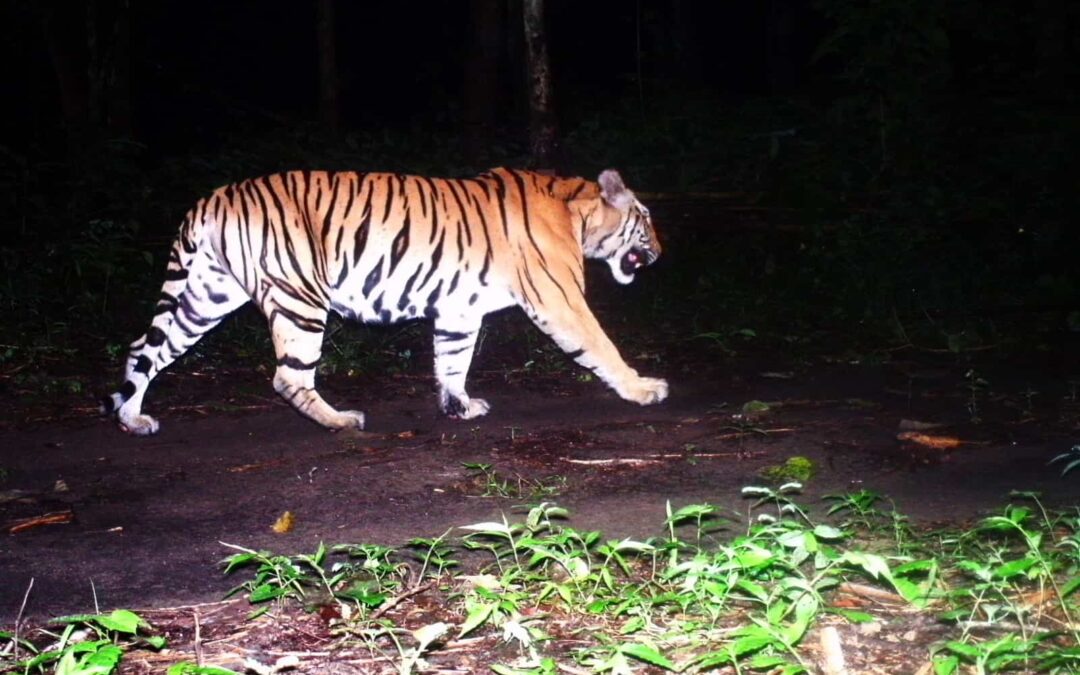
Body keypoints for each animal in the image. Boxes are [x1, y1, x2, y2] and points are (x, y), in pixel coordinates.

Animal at [102, 167, 667, 435]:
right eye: (645, 219)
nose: (661, 253)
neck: (578, 212)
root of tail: (211, 199)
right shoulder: (560, 298)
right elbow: (601, 346)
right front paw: (643, 389)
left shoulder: (459, 308)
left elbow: (452, 359)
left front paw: (459, 406)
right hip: (301, 298)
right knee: (288, 377)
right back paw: (341, 421)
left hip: (207, 296)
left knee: (143, 349)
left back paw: (132, 419)